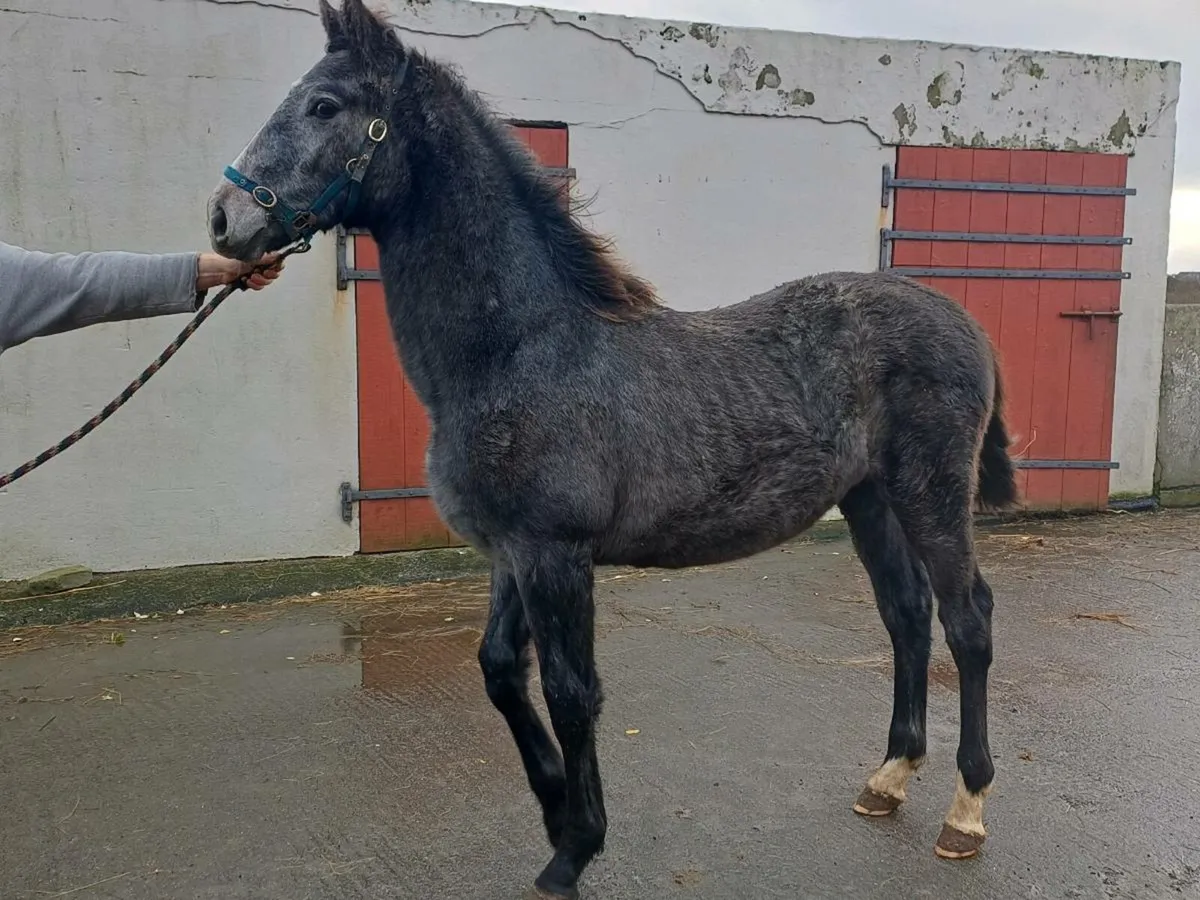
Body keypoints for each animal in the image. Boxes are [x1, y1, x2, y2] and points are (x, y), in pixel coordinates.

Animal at [207, 1, 1018, 895]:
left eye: (324, 105)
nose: (225, 218)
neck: (521, 349)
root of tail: (960, 316)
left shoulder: (557, 552)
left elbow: (572, 692)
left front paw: (576, 846)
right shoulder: (514, 552)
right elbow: (499, 668)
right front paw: (556, 806)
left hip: (930, 494)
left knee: (967, 619)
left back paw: (966, 812)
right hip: (870, 498)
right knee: (906, 613)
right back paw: (889, 777)